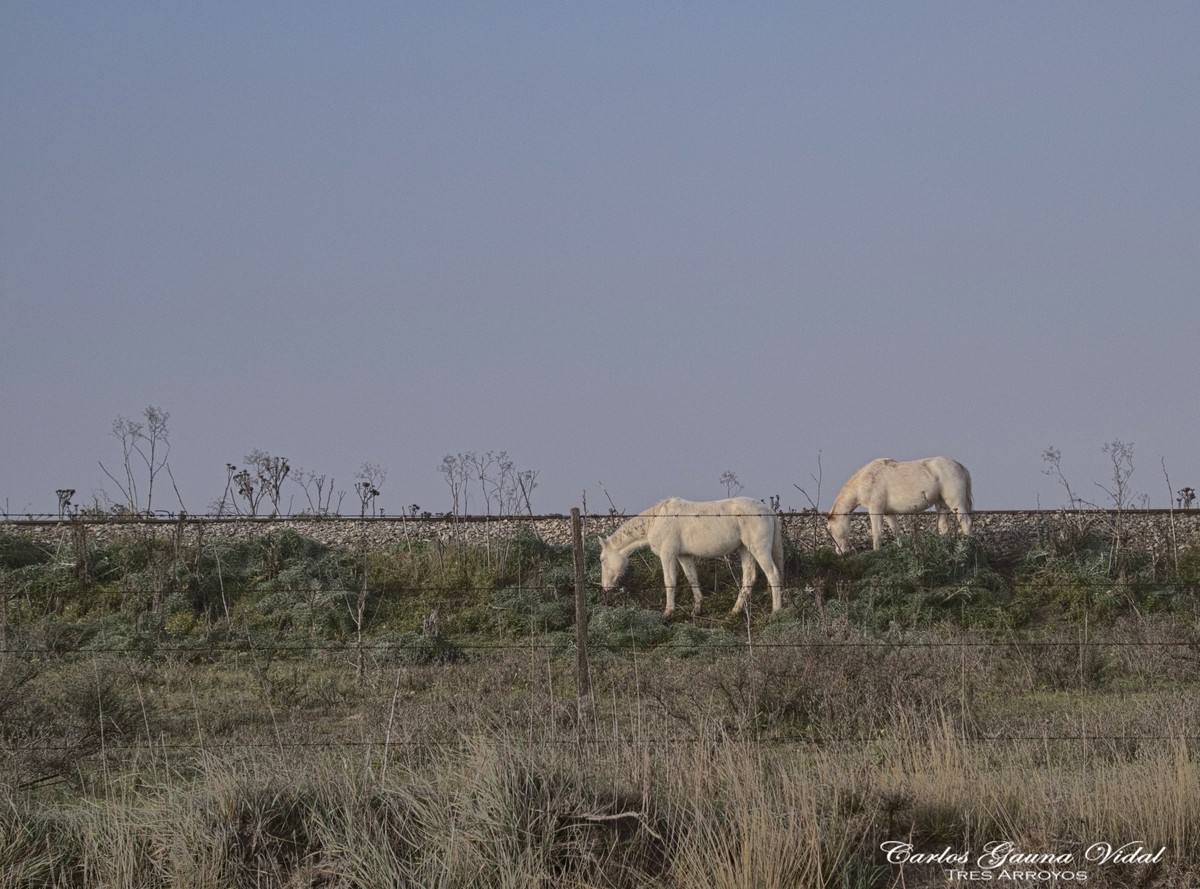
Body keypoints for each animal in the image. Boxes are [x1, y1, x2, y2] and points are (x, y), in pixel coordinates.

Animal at [595, 491, 782, 619]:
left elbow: (670, 581)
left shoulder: (668, 554)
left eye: (602, 559)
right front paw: (697, 609)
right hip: (746, 550)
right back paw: (734, 611)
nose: (605, 587)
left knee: (773, 574)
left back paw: (776, 611)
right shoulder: (683, 556)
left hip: (759, 549)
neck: (657, 520)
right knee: (749, 578)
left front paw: (668, 612)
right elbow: (692, 578)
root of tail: (768, 510)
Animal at [825, 458, 974, 554]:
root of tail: (961, 467)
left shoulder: (875, 509)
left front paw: (876, 552)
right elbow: (896, 531)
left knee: (966, 523)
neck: (866, 479)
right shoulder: (888, 512)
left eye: (831, 530)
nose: (840, 552)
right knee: (943, 526)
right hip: (941, 504)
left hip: (956, 502)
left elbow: (876, 532)